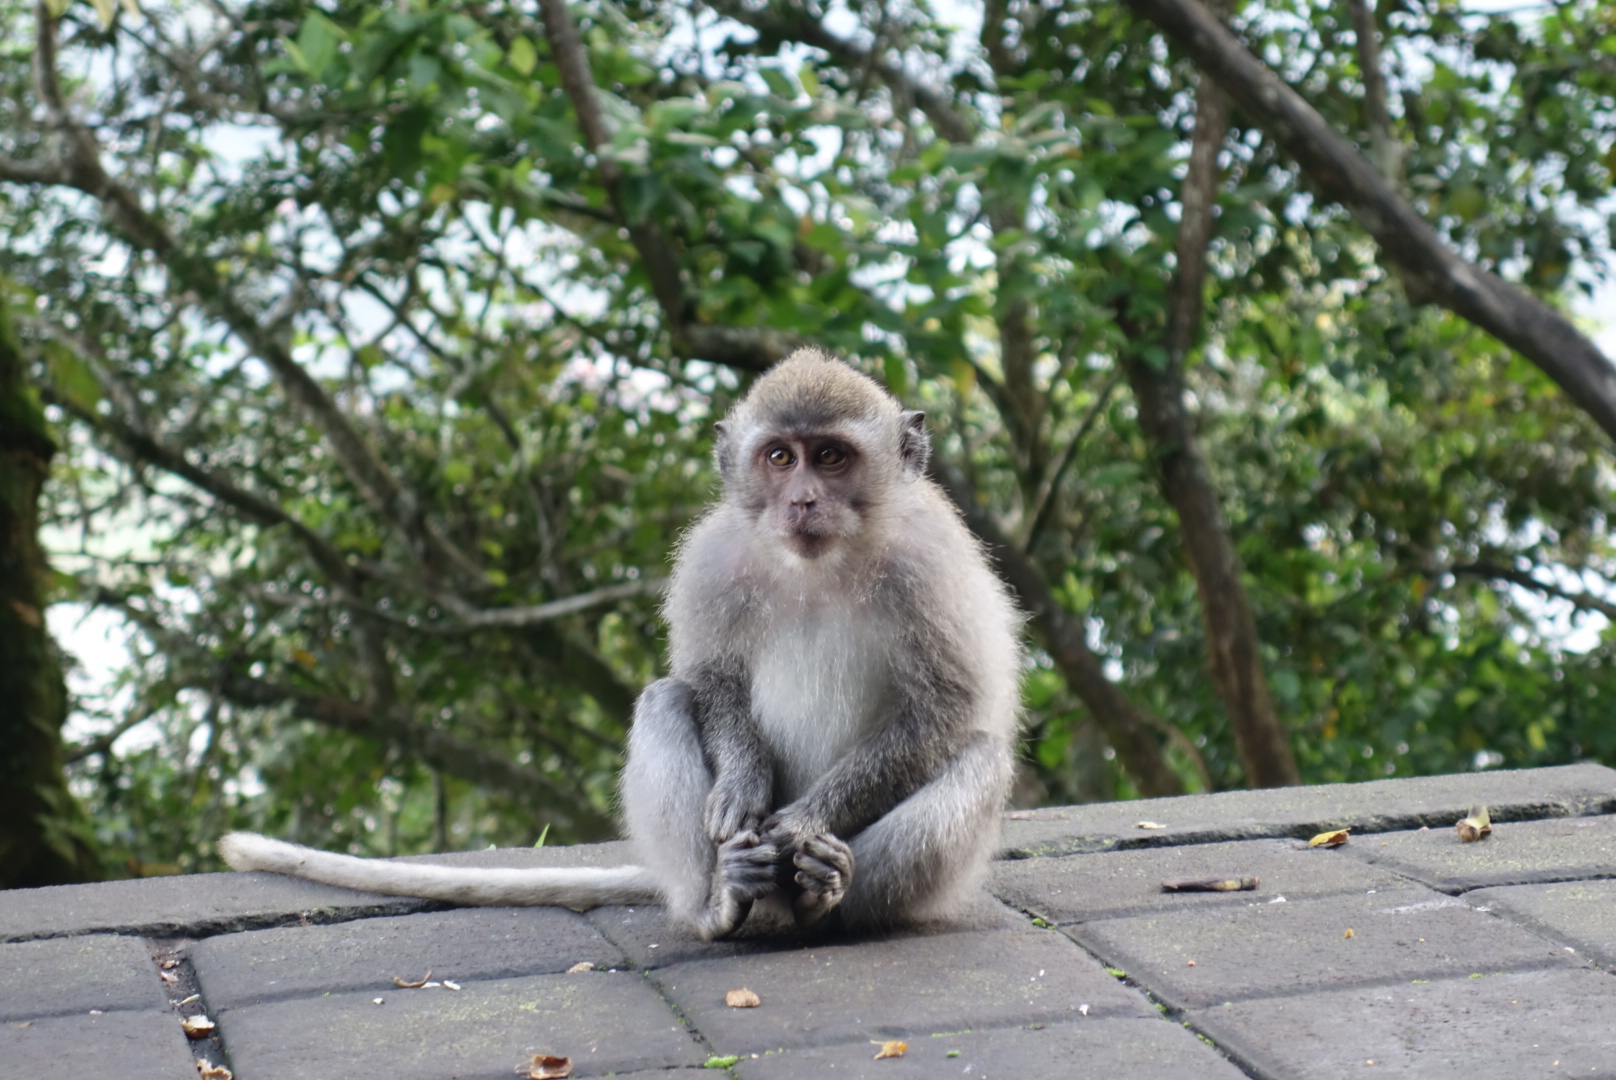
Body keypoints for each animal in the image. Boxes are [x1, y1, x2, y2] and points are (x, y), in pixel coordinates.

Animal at [220, 348, 1023, 941]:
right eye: (779, 458)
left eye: (830, 457)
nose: (801, 502)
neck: (817, 563)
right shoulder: (712, 560)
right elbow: (708, 681)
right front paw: (741, 789)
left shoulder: (931, 563)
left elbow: (947, 706)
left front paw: (801, 821)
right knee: (667, 701)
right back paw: (723, 902)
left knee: (977, 756)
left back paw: (824, 892)